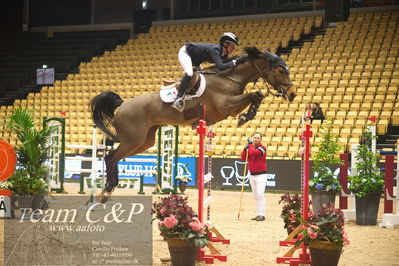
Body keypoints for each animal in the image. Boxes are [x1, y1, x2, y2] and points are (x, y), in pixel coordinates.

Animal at [91, 46, 296, 193]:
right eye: (281, 70)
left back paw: (109, 188)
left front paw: (247, 115)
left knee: (115, 157)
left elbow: (257, 95)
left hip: (144, 142)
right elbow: (254, 94)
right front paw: (245, 116)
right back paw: (108, 187)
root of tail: (123, 104)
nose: (293, 94)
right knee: (110, 157)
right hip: (133, 140)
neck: (231, 77)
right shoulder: (226, 106)